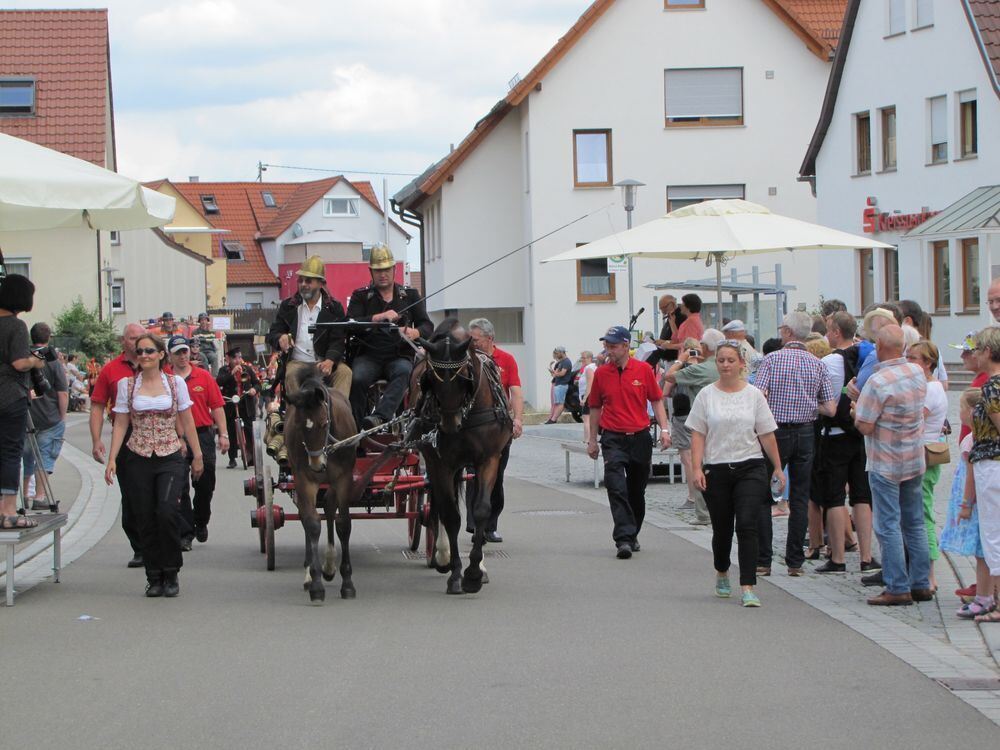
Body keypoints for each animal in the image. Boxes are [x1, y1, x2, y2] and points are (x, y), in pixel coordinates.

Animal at [284, 368, 358, 608]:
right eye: (299, 426)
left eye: (324, 424)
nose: (317, 465)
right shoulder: (304, 479)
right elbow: (312, 524)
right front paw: (316, 584)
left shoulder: (344, 478)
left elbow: (343, 524)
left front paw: (347, 583)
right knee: (308, 516)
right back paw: (313, 571)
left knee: (329, 507)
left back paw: (330, 564)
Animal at [410, 332, 512, 596]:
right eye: (431, 378)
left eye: (464, 375)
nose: (448, 424)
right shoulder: (440, 464)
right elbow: (451, 516)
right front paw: (456, 573)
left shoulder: (488, 460)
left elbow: (481, 510)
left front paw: (474, 573)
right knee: (439, 506)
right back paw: (442, 555)